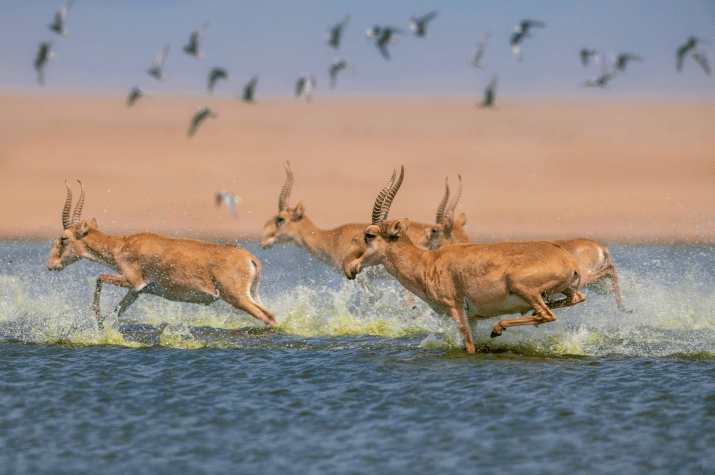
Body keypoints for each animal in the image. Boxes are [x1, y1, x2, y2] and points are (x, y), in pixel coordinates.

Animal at [46, 180, 276, 330]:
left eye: (64, 238)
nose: (51, 265)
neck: (123, 244)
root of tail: (250, 257)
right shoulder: (138, 291)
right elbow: (117, 311)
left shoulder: (133, 282)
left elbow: (99, 277)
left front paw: (97, 315)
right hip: (250, 295)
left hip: (238, 298)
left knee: (269, 317)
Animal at [342, 167, 588, 354]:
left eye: (370, 235)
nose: (348, 267)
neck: (427, 262)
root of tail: (571, 262)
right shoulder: (474, 317)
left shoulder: (456, 309)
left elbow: (469, 346)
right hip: (561, 292)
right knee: (574, 299)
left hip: (522, 288)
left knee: (547, 314)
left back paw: (498, 328)